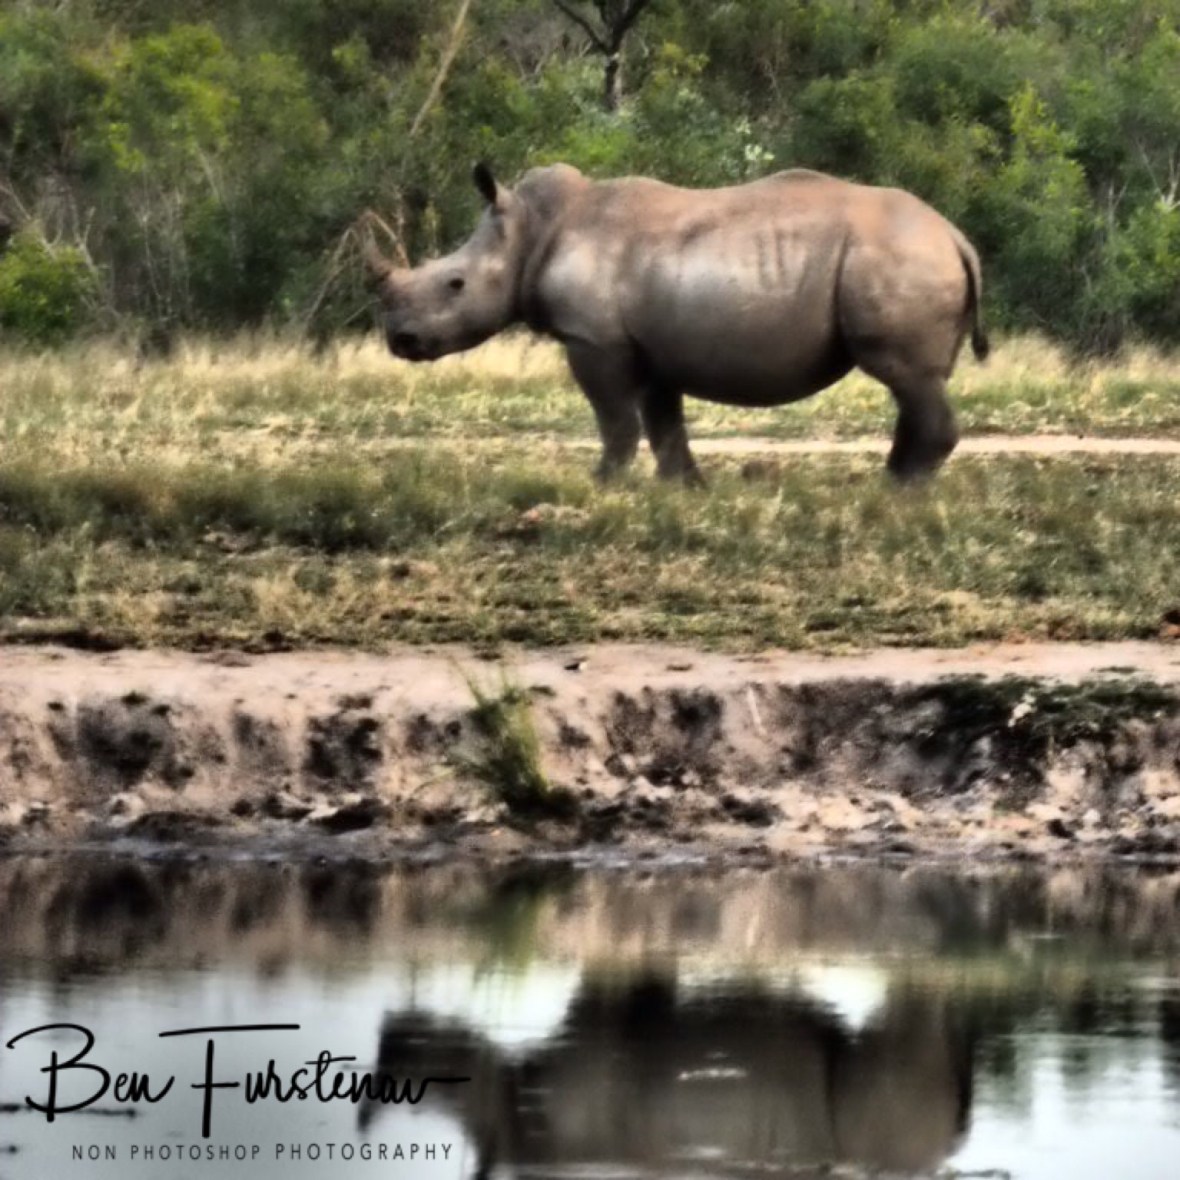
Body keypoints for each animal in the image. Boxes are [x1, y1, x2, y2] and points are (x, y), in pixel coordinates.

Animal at [365, 162, 989, 483]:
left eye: (455, 284)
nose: (400, 340)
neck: (531, 231)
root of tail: (954, 235)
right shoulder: (652, 343)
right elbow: (663, 421)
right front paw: (683, 489)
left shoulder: (594, 339)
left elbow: (616, 419)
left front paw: (601, 486)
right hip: (909, 256)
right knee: (917, 384)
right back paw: (895, 483)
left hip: (898, 257)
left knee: (905, 375)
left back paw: (898, 493)